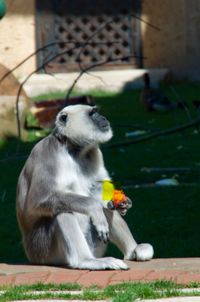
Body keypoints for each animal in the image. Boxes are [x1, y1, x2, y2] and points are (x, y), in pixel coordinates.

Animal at [16, 105, 153, 270]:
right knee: (62, 212)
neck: (73, 150)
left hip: (95, 247)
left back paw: (133, 251)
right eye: (92, 114)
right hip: (42, 251)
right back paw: (85, 260)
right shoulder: (47, 152)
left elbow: (98, 185)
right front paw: (94, 208)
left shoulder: (93, 152)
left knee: (105, 208)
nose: (103, 118)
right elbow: (39, 200)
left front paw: (123, 202)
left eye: (97, 112)